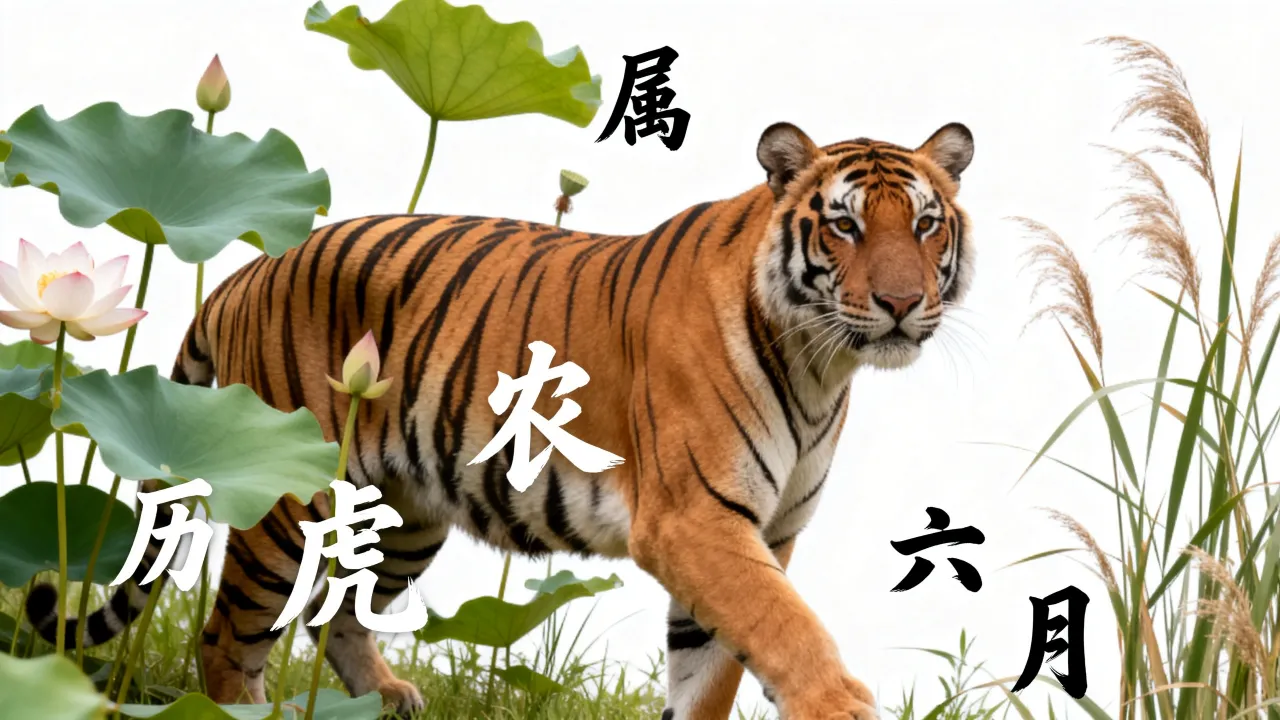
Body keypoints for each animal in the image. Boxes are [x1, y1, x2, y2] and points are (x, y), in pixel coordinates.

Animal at [27, 120, 974, 719]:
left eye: (927, 224)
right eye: (845, 226)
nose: (901, 304)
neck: (822, 366)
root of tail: (246, 270)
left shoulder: (762, 533)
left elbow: (711, 675)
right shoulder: (698, 522)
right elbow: (786, 629)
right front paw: (840, 706)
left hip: (400, 509)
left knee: (334, 610)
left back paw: (387, 699)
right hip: (284, 498)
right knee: (227, 640)